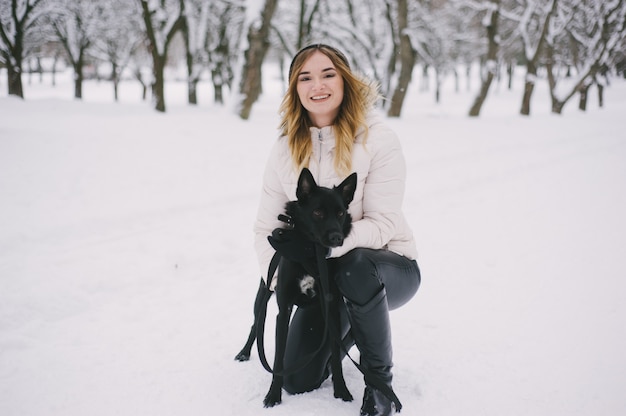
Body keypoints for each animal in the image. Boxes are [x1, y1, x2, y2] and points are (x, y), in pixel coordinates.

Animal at [234, 167, 356, 408]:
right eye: (317, 213)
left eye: (340, 214)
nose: (337, 238)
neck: (310, 253)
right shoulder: (284, 310)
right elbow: (278, 360)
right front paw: (273, 396)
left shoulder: (332, 310)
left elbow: (336, 355)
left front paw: (341, 391)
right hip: (264, 292)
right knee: (256, 324)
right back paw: (244, 353)